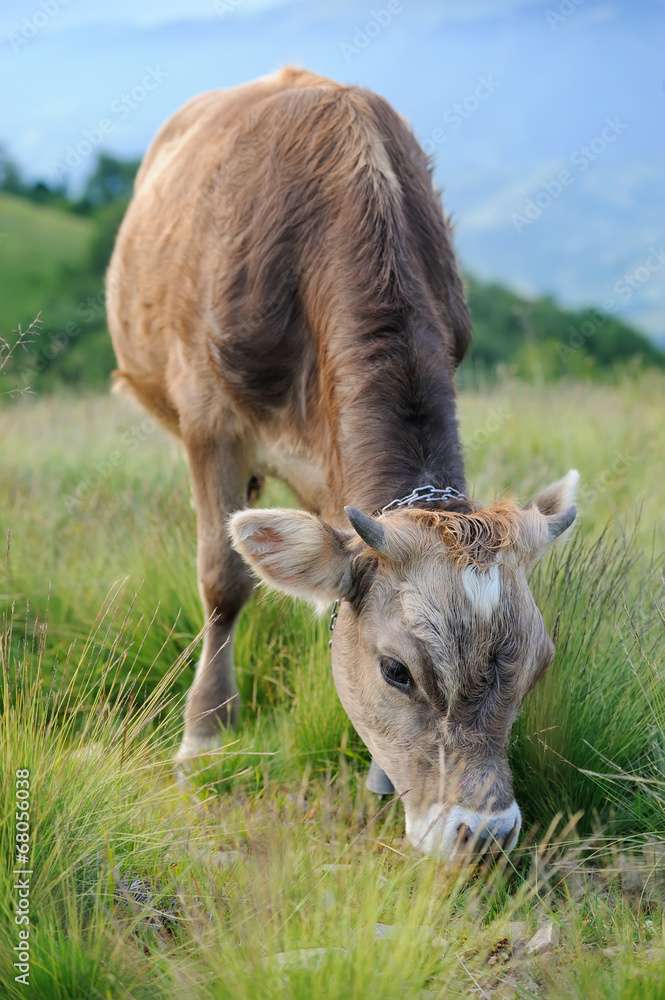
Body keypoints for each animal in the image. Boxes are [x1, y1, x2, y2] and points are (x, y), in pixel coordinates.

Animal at [105, 68, 576, 860]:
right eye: (396, 671)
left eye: (537, 666)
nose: (483, 833)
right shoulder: (209, 421)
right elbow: (224, 580)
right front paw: (203, 736)